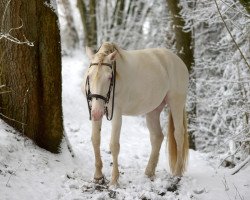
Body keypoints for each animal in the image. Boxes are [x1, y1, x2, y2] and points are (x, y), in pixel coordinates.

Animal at [83, 41, 188, 187]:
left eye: (109, 77)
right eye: (89, 75)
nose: (97, 112)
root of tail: (178, 61)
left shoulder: (117, 114)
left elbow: (114, 145)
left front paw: (114, 180)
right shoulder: (95, 110)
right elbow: (95, 140)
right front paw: (98, 176)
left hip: (176, 103)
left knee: (178, 134)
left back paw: (177, 174)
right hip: (153, 110)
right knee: (157, 137)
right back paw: (149, 172)